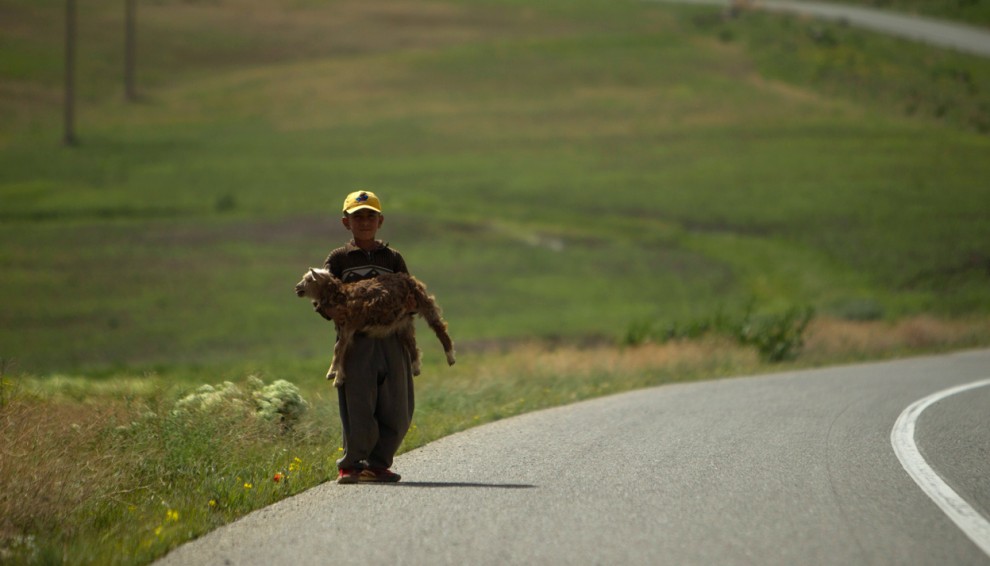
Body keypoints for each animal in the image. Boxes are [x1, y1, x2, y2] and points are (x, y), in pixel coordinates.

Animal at [290, 270, 454, 386]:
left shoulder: (349, 324)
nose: (297, 288)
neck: (341, 296)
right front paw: (338, 378)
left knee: (439, 328)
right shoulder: (343, 327)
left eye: (309, 279)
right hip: (403, 319)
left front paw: (331, 373)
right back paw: (416, 368)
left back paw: (450, 357)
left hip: (423, 302)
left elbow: (338, 348)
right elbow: (342, 350)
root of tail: (409, 278)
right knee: (411, 342)